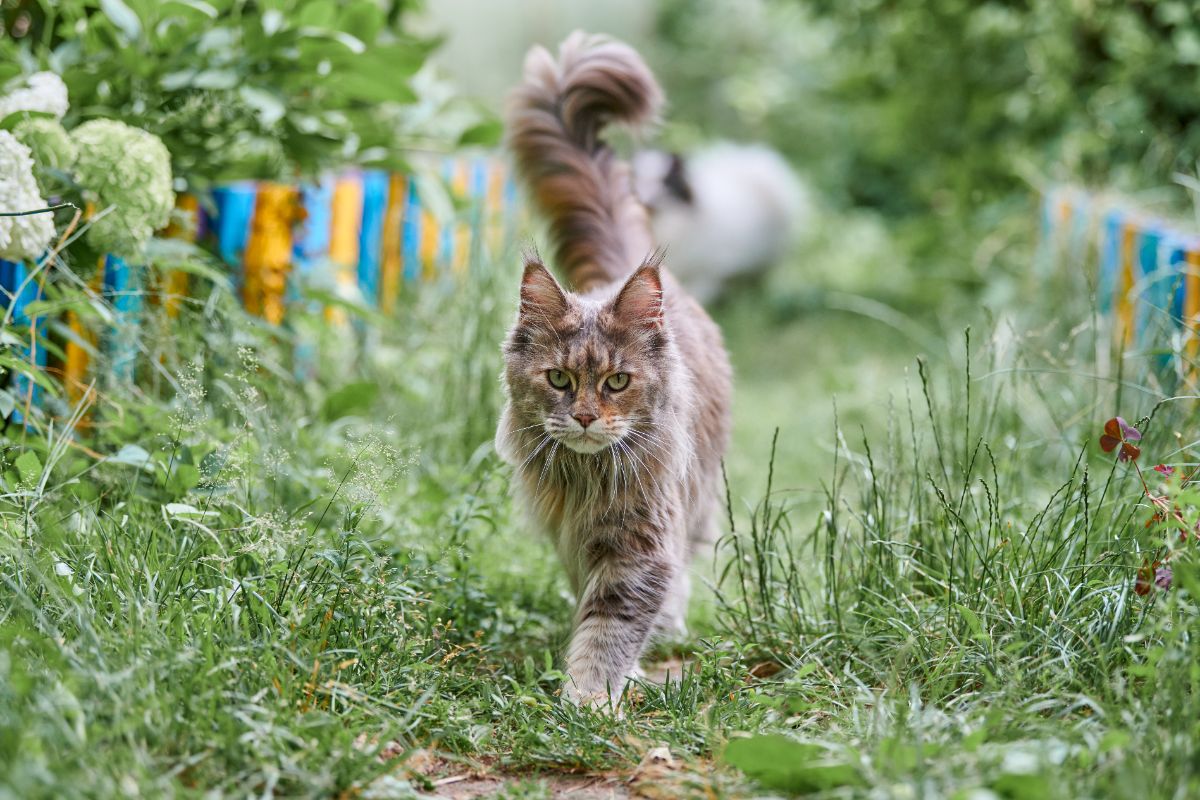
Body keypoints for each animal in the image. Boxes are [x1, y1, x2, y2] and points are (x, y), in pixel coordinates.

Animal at [494, 29, 729, 705]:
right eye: (559, 379)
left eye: (617, 381)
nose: (585, 418)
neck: (588, 479)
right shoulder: (578, 536)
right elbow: (594, 615)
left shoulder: (642, 546)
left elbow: (611, 626)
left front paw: (590, 700)